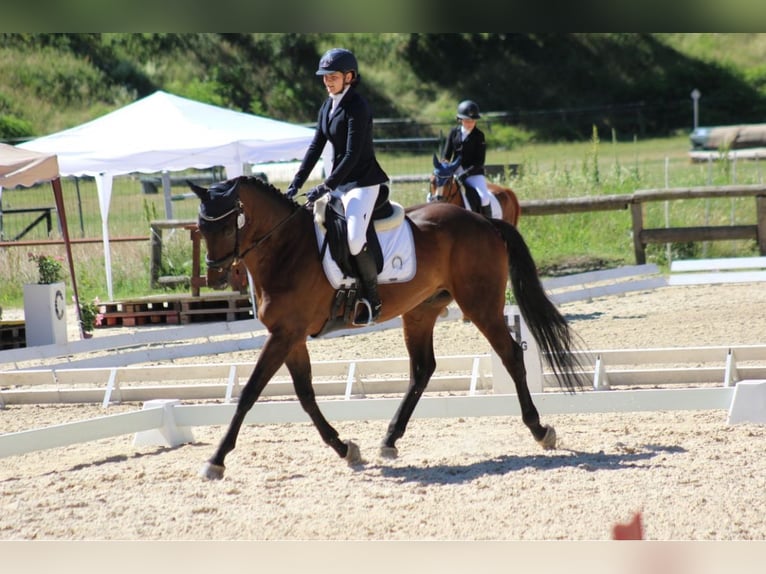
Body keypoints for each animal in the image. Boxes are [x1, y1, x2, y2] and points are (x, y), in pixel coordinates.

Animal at [189, 177, 584, 482]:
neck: (286, 249)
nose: (215, 276)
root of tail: (482, 222)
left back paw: (540, 430)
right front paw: (345, 448)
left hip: (481, 304)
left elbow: (249, 393)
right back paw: (390, 439)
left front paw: (215, 461)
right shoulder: (291, 335)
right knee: (423, 370)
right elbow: (305, 395)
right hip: (421, 311)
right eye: (201, 227)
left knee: (510, 355)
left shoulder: (285, 333)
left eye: (226, 224)